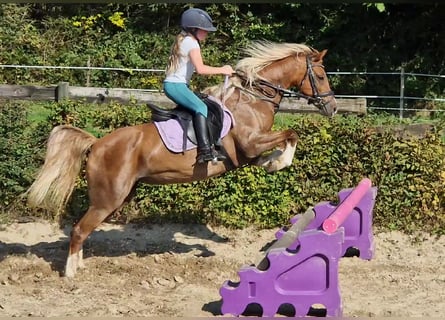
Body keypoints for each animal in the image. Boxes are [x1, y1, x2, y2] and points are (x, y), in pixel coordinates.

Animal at [26, 40, 334, 278]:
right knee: (79, 229)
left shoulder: (248, 154)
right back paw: (70, 273)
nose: (331, 107)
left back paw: (79, 265)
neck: (253, 100)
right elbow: (291, 133)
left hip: (120, 195)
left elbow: (278, 147)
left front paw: (274, 163)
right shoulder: (251, 142)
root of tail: (97, 142)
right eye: (320, 76)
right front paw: (281, 161)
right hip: (109, 198)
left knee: (82, 229)